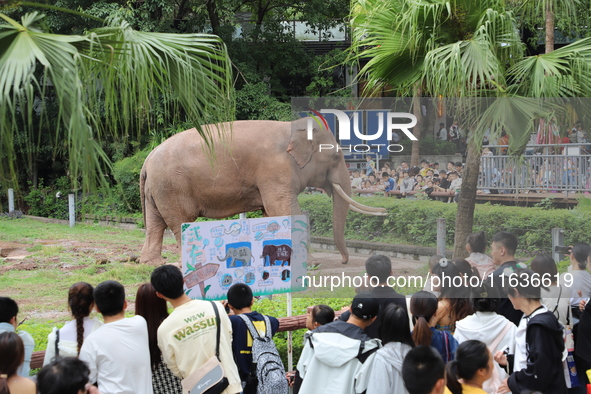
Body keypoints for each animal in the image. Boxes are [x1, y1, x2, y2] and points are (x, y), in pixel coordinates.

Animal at [140, 117, 388, 264]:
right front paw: (311, 263)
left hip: (158, 190)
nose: (344, 261)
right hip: (172, 187)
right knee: (181, 222)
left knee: (155, 224)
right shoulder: (276, 168)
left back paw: (152, 263)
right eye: (336, 157)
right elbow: (282, 207)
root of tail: (147, 160)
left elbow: (271, 213)